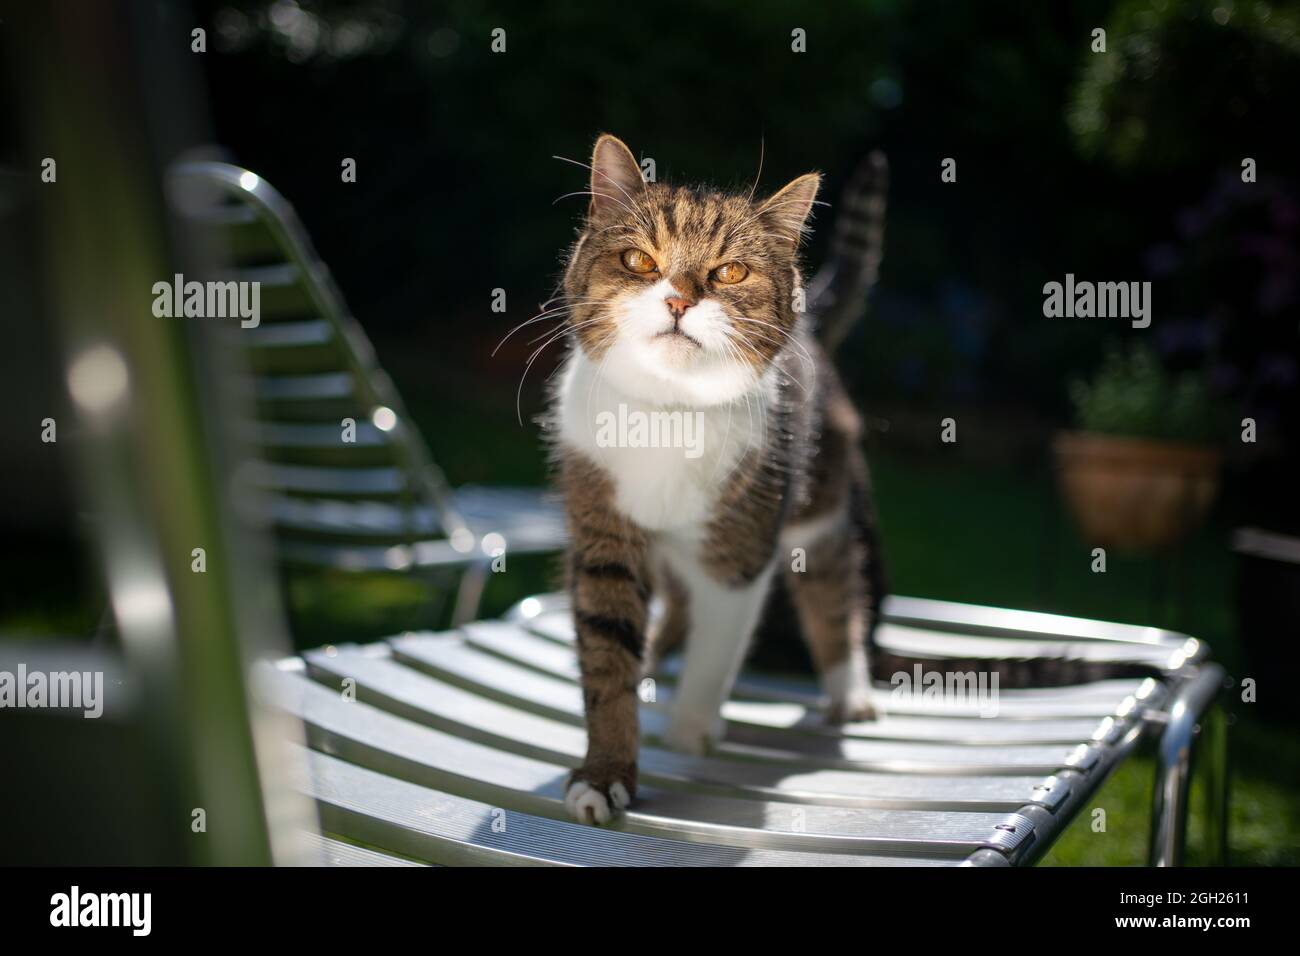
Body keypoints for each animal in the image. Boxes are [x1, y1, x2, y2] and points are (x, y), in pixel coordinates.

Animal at [543, 130, 889, 827]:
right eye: (639, 260)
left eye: (730, 272)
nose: (679, 299)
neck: (667, 413)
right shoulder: (602, 533)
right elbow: (606, 654)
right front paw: (605, 774)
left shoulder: (742, 547)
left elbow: (717, 645)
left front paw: (690, 729)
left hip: (818, 505)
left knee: (835, 589)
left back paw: (849, 690)